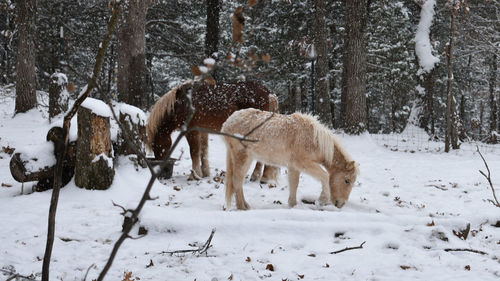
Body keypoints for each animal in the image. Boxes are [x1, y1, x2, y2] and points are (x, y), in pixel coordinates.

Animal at [146, 80, 282, 180]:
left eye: (157, 146)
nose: (161, 170)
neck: (182, 102)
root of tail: (268, 93)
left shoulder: (191, 131)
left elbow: (194, 152)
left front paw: (195, 175)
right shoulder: (202, 131)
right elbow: (203, 151)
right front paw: (205, 173)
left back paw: (257, 176)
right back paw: (263, 177)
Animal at [223, 108, 360, 209]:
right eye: (347, 180)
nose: (341, 204)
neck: (314, 139)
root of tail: (228, 122)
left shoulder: (294, 166)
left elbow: (294, 184)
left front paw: (293, 205)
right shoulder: (304, 163)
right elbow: (325, 176)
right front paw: (322, 199)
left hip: (247, 158)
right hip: (242, 157)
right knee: (237, 180)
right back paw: (242, 207)